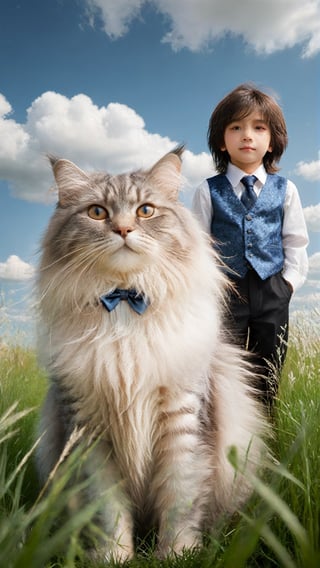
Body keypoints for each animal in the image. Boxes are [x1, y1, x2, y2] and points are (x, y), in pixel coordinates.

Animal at [36, 146, 268, 560]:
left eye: (145, 211)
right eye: (97, 212)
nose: (123, 230)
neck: (126, 304)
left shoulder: (182, 422)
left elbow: (180, 501)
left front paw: (177, 554)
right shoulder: (91, 432)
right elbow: (108, 511)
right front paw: (114, 557)